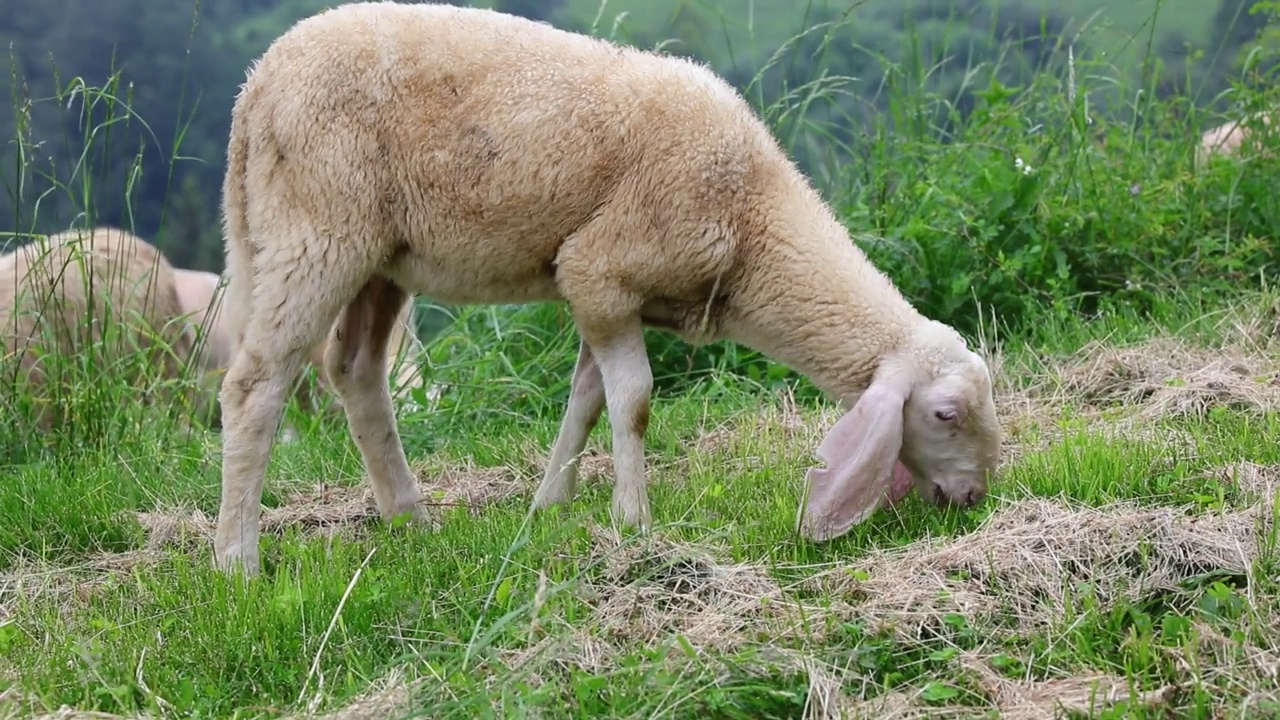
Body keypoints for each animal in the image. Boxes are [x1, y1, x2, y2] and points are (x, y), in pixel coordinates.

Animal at [212, 0, 998, 571]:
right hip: (317, 230)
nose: (973, 498)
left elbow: (587, 398)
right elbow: (635, 402)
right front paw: (633, 520)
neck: (753, 219)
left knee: (356, 370)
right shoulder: (602, 269)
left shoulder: (606, 296)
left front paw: (549, 505)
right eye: (945, 415)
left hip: (381, 255)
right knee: (255, 384)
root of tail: (255, 85)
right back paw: (237, 561)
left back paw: (411, 518)